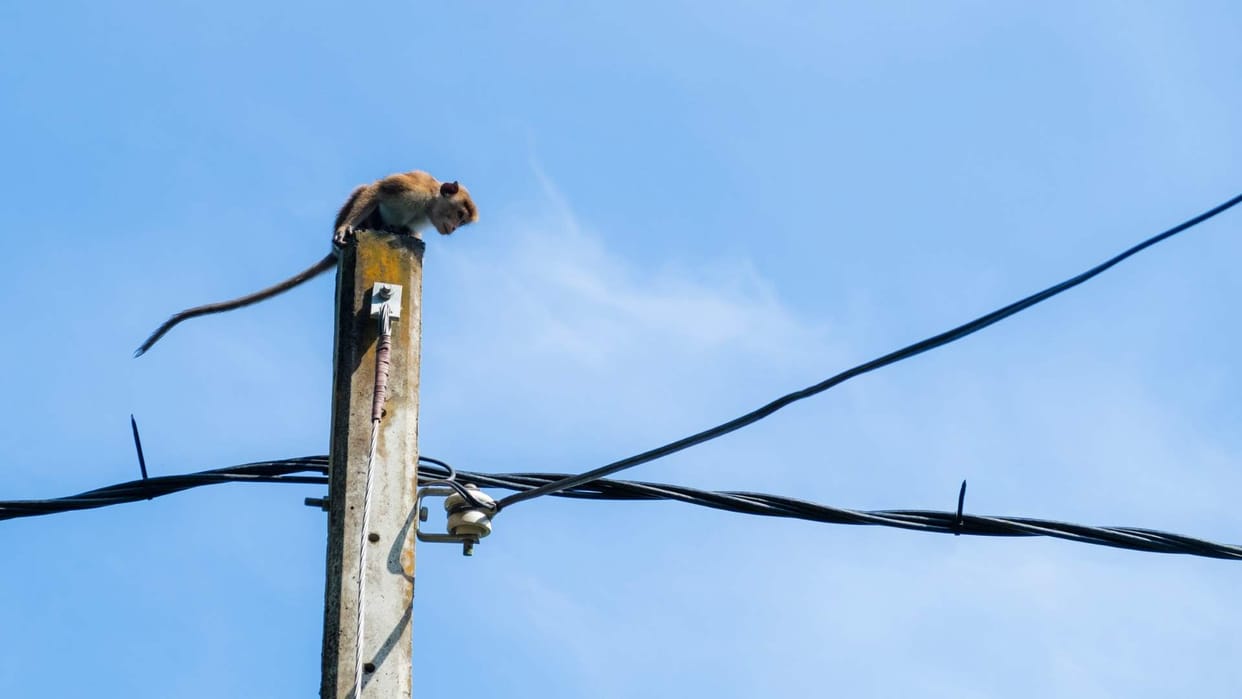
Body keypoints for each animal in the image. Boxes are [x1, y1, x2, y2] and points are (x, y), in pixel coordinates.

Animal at [134, 171, 478, 357]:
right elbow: (376, 189)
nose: (453, 229)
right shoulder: (411, 188)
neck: (428, 202)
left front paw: (411, 235)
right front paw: (346, 229)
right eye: (458, 214)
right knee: (364, 194)